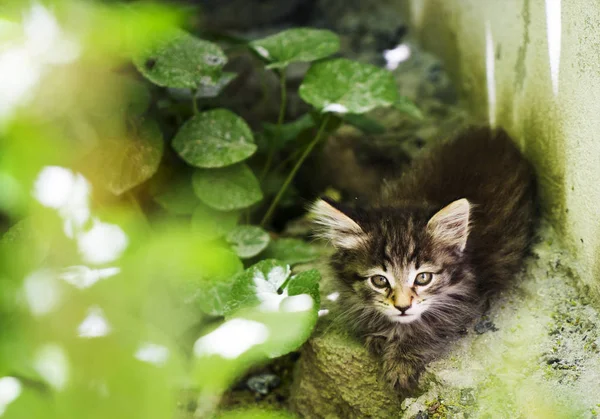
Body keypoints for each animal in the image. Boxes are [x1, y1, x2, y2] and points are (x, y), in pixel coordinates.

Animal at [310, 124, 536, 394]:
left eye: (423, 278)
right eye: (379, 281)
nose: (403, 307)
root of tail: (494, 132)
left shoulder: (470, 295)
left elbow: (431, 326)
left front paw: (402, 361)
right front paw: (379, 335)